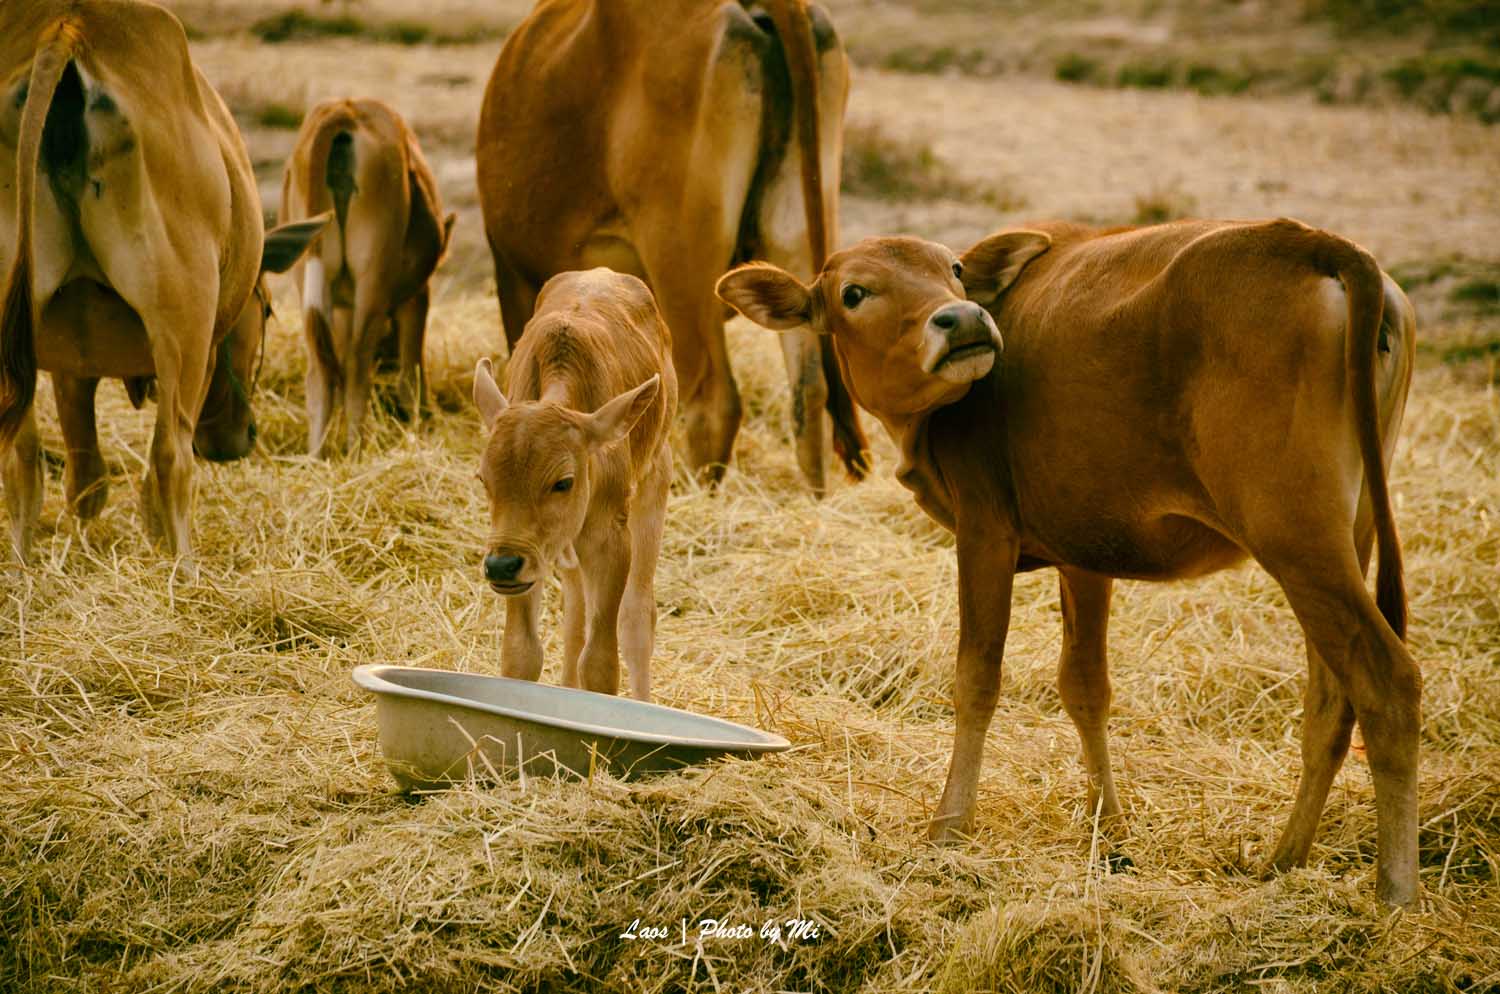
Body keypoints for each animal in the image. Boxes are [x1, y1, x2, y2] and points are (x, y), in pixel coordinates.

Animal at [282, 97, 453, 455]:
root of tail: (345, 109)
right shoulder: (417, 296)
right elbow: (411, 371)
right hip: (373, 273)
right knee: (358, 364)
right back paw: (357, 448)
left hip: (309, 273)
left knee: (321, 371)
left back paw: (317, 456)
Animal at [471, 268, 678, 704]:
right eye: (484, 479)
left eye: (563, 482)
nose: (501, 564)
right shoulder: (527, 553)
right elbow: (521, 652)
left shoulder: (610, 539)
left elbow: (600, 662)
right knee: (575, 613)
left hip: (657, 476)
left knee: (637, 618)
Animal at [720, 220, 1422, 911]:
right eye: (855, 293)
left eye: (953, 269)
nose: (964, 316)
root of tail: (1317, 242)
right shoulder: (1085, 551)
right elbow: (1085, 687)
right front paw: (1109, 832)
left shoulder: (984, 527)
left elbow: (977, 678)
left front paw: (949, 827)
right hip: (1346, 537)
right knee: (1331, 703)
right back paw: (1284, 862)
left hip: (1297, 537)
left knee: (1388, 682)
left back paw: (1396, 894)